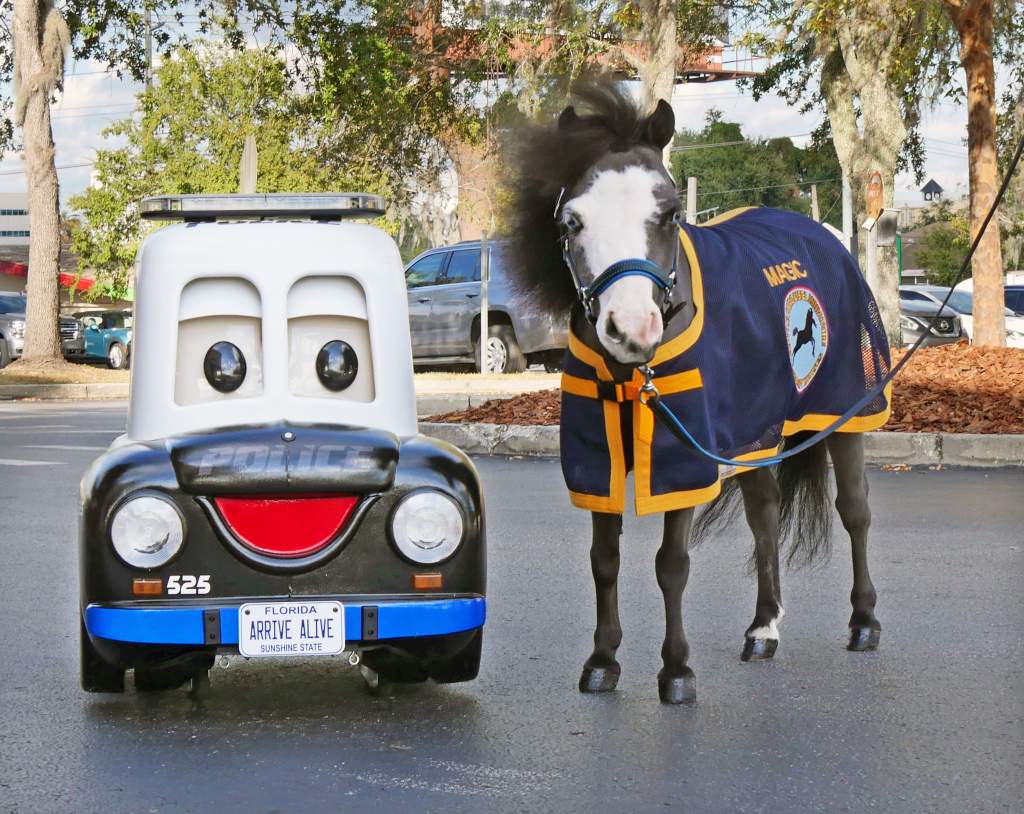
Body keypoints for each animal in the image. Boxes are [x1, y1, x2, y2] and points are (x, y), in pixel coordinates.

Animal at [499, 84, 884, 708]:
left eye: (670, 213)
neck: (632, 373)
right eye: (571, 221)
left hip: (846, 414)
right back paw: (763, 627)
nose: (632, 329)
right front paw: (602, 660)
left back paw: (864, 621)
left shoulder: (678, 455)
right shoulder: (598, 453)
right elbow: (604, 559)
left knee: (854, 510)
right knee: (765, 515)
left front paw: (676, 670)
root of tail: (825, 236)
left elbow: (671, 564)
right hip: (757, 435)